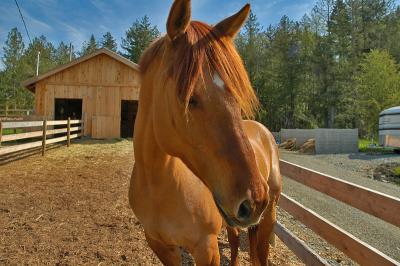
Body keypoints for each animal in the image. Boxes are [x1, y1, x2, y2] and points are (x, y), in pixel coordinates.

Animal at [128, 0, 282, 264]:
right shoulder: (160, 245)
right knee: (234, 241)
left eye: (235, 95)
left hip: (268, 216)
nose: (254, 200)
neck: (157, 184)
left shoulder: (206, 248)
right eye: (190, 98)